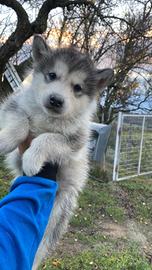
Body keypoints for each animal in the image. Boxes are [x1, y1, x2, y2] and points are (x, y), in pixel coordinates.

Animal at [0, 35, 113, 268]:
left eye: (77, 87)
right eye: (52, 75)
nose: (56, 100)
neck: (48, 118)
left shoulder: (76, 142)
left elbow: (48, 138)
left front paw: (32, 159)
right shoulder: (12, 106)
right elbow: (21, 123)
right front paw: (4, 141)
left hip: (56, 217)